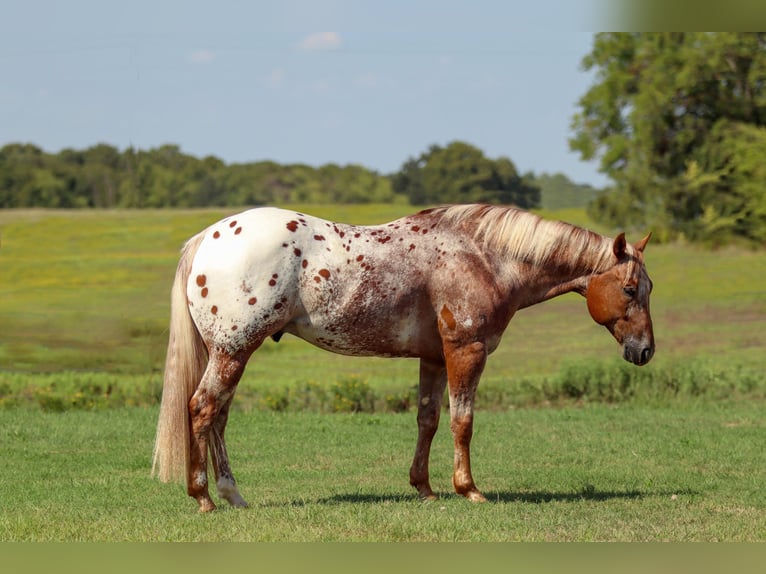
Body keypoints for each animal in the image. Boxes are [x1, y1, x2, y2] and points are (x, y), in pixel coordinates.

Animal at [153, 204, 656, 512]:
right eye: (631, 289)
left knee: (217, 417)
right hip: (233, 349)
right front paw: (468, 489)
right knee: (203, 409)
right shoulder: (466, 351)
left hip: (230, 353)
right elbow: (462, 421)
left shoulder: (433, 358)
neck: (483, 257)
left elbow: (427, 420)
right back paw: (204, 497)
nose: (645, 350)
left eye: (648, 288)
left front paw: (425, 488)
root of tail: (209, 238)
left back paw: (232, 494)